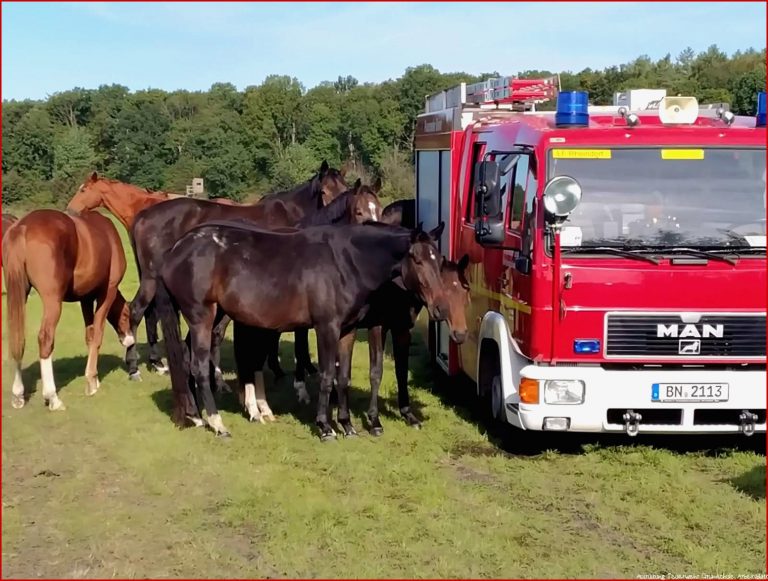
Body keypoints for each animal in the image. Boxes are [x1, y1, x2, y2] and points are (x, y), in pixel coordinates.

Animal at [3, 211, 134, 410]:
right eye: (126, 315)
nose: (130, 340)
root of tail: (22, 227)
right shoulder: (107, 293)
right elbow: (97, 335)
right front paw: (91, 382)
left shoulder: (86, 298)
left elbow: (89, 335)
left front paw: (94, 379)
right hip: (53, 301)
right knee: (45, 339)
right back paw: (53, 397)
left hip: (19, 293)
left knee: (18, 340)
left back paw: (18, 394)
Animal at [152, 220, 450, 438]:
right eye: (417, 260)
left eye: (440, 260)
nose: (441, 309)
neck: (346, 262)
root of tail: (175, 250)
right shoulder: (327, 327)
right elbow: (328, 375)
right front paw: (325, 427)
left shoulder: (348, 330)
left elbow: (343, 377)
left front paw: (347, 425)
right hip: (201, 316)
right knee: (199, 367)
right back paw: (217, 423)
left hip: (212, 317)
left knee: (188, 360)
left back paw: (195, 415)